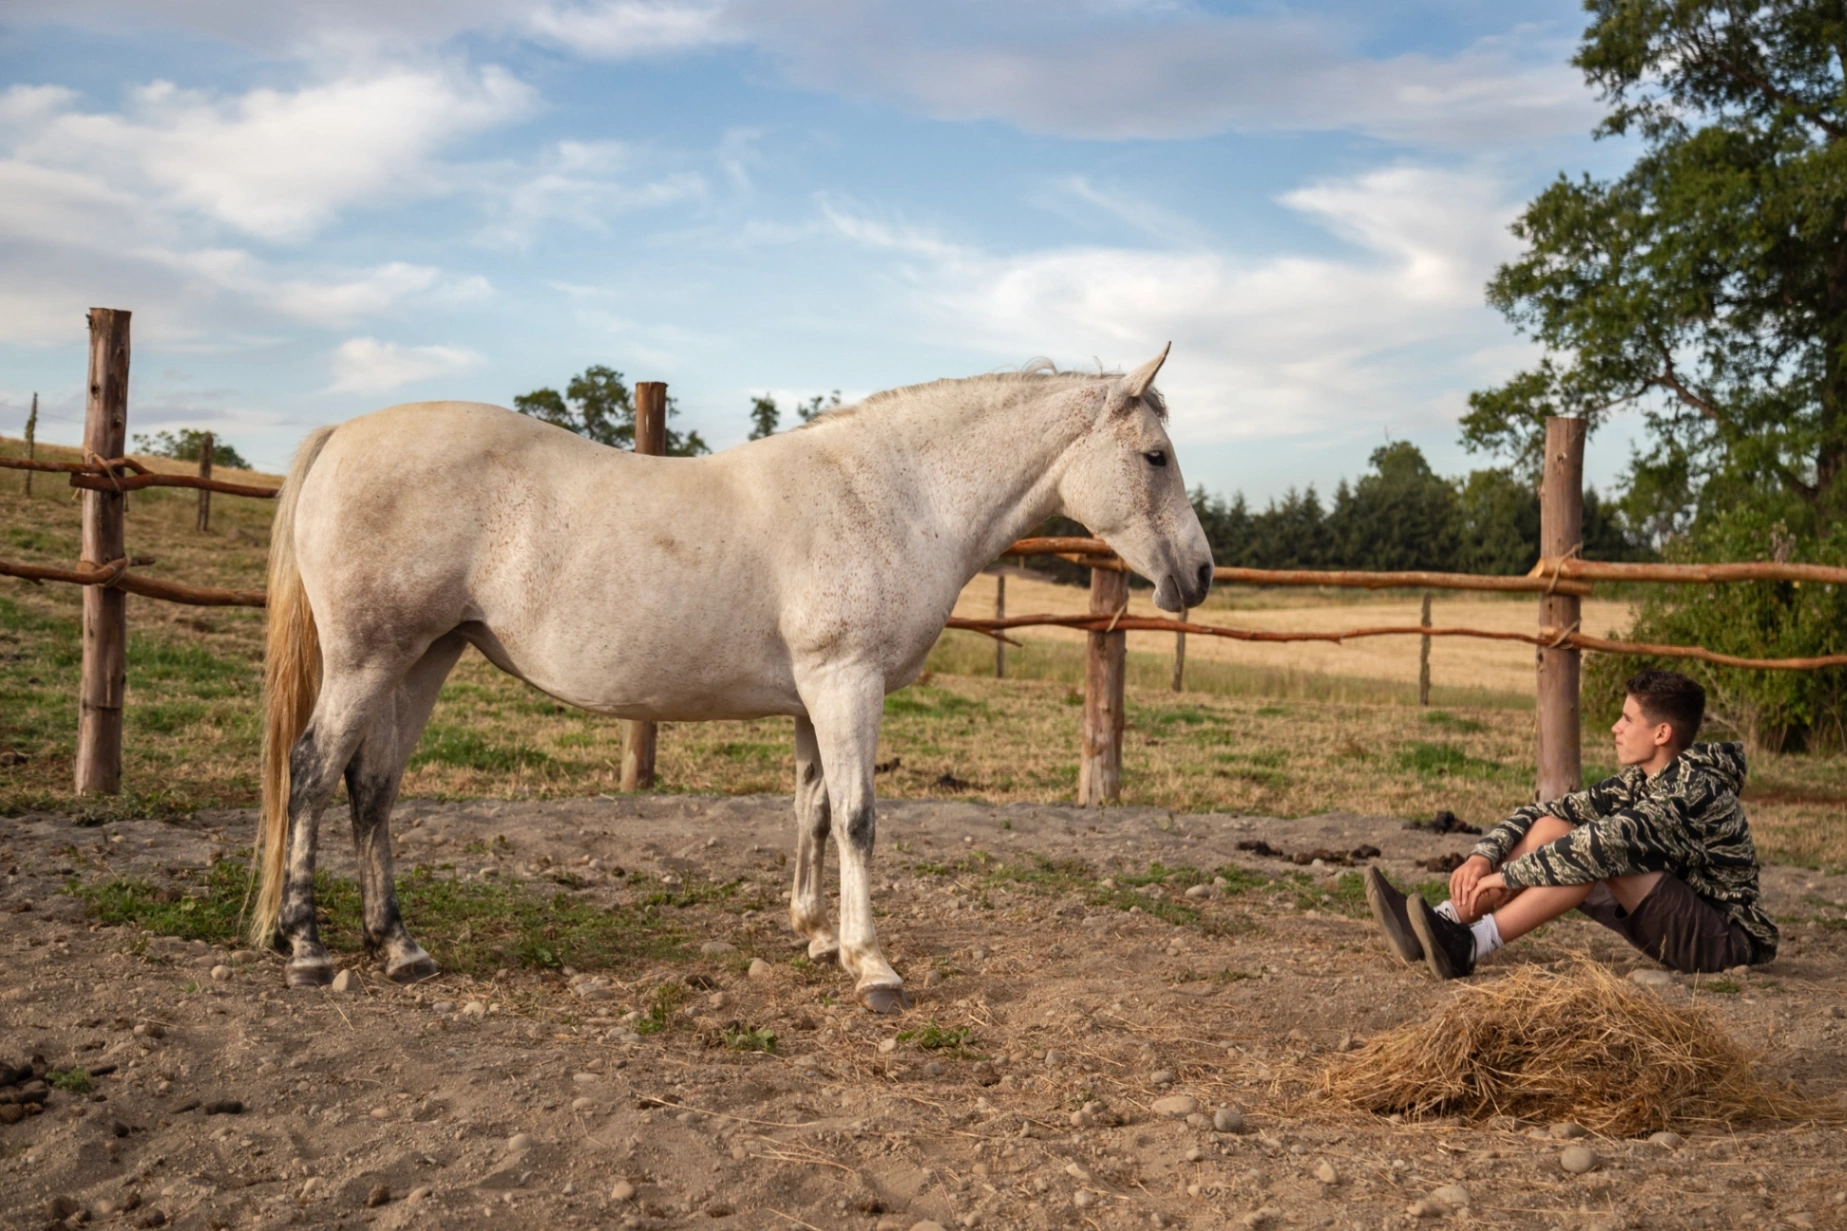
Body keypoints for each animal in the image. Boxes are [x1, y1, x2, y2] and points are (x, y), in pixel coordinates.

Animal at [249, 345, 1214, 1013]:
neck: (894, 496)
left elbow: (812, 811)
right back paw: (308, 949)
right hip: (369, 660)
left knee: (372, 786)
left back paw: (399, 946)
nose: (1199, 574)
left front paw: (815, 935)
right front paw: (872, 965)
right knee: (311, 771)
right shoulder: (846, 685)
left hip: (423, 658)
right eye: (1155, 456)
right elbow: (858, 819)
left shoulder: (814, 700)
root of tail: (341, 435)